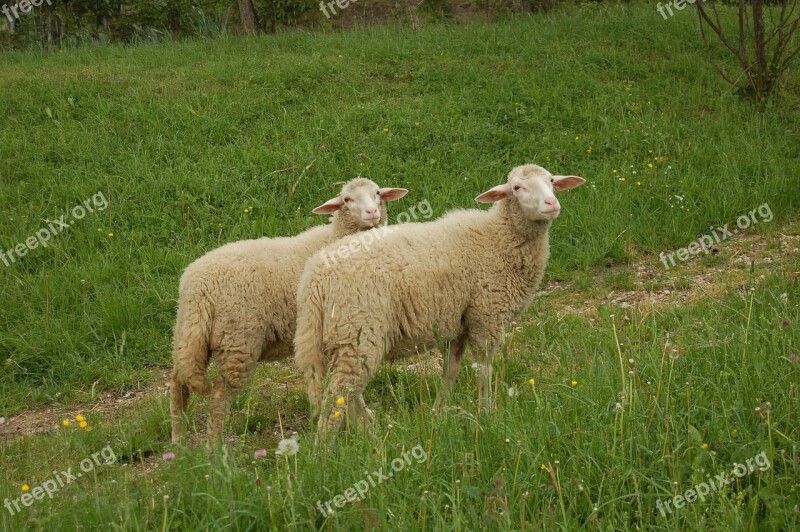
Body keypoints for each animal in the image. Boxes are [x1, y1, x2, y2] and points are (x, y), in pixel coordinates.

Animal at [168, 179, 406, 444]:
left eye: (377, 193)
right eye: (347, 199)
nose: (372, 212)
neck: (335, 236)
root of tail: (196, 286)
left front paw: (362, 426)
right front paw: (362, 425)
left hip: (187, 336)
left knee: (178, 384)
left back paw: (179, 440)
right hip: (238, 340)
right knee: (219, 398)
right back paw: (214, 447)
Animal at [290, 165, 584, 432]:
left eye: (552, 181)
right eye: (517, 188)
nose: (551, 203)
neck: (498, 236)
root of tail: (313, 279)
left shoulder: (458, 322)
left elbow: (450, 370)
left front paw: (438, 413)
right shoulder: (486, 314)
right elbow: (485, 369)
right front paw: (486, 414)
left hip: (341, 337)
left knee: (346, 391)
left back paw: (370, 430)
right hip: (358, 330)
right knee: (338, 392)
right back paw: (327, 447)